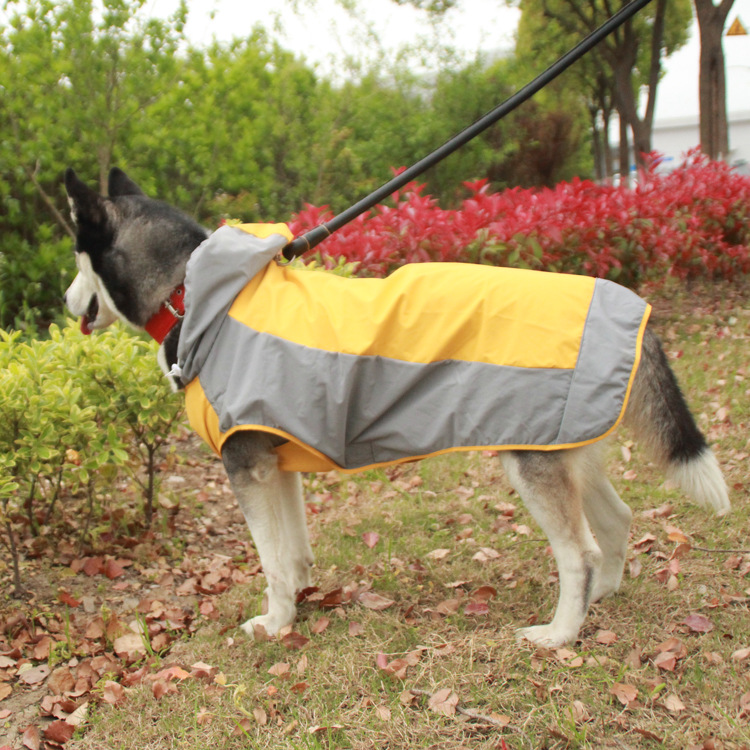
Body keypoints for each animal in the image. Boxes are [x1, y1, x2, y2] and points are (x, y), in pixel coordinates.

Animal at [64, 167, 736, 648]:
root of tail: (632, 312)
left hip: (531, 461)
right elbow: (293, 551)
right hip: (567, 447)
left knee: (581, 554)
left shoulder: (246, 467)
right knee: (618, 522)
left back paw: (561, 634)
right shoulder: (276, 465)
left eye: (75, 260)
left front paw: (275, 623)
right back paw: (603, 599)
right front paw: (299, 602)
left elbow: (271, 560)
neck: (192, 294)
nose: (65, 302)